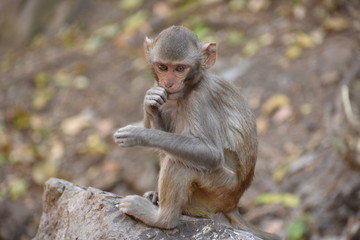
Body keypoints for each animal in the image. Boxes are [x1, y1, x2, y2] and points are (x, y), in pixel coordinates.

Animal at [114, 26, 280, 240]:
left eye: (179, 69)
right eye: (162, 67)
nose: (168, 84)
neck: (188, 88)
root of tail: (234, 203)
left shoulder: (201, 100)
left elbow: (210, 154)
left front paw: (137, 135)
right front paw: (150, 103)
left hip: (220, 188)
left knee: (180, 162)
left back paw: (161, 219)